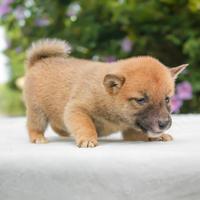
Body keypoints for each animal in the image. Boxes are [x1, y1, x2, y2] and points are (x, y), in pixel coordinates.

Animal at [23, 38, 188, 147]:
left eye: (167, 99)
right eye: (141, 100)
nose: (164, 124)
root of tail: (38, 61)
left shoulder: (130, 131)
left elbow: (142, 134)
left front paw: (158, 137)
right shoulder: (76, 109)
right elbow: (85, 125)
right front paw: (87, 138)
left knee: (58, 125)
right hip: (37, 112)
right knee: (34, 126)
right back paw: (38, 138)